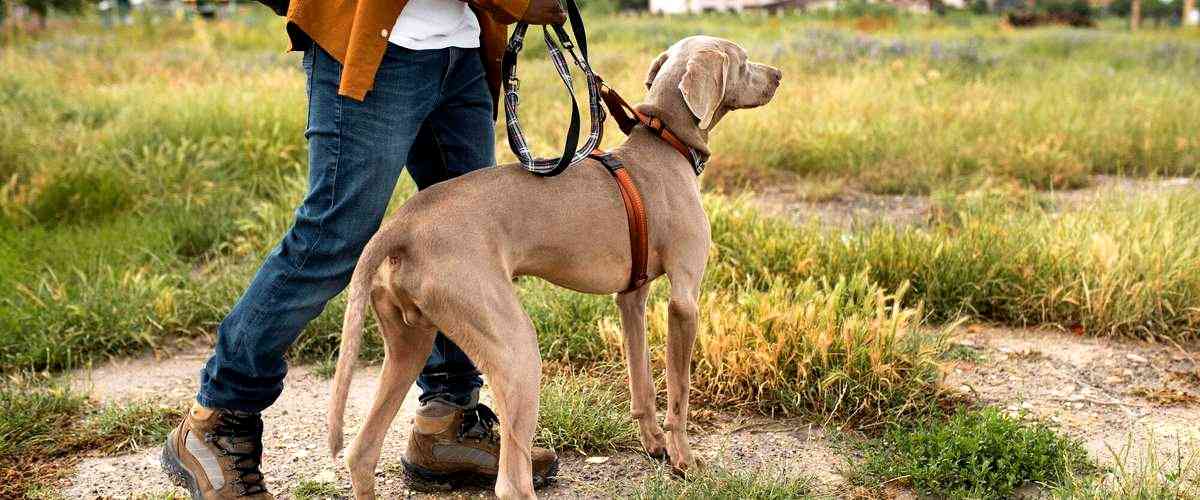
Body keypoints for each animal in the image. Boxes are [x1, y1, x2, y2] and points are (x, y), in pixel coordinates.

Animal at [328, 35, 782, 498]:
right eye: (743, 62)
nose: (779, 75)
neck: (665, 143)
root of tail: (401, 224)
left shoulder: (631, 296)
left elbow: (642, 382)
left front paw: (655, 445)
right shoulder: (684, 300)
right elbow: (679, 391)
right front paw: (683, 461)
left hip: (409, 342)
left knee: (361, 452)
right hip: (514, 349)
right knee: (511, 482)